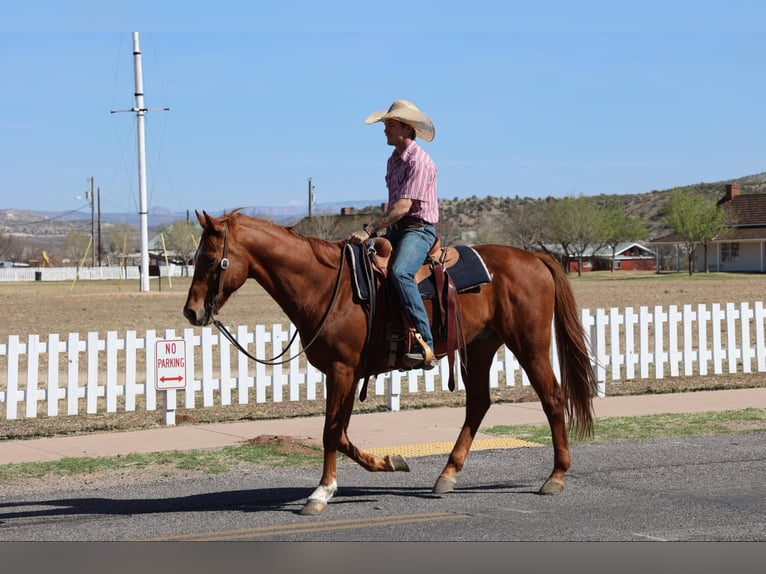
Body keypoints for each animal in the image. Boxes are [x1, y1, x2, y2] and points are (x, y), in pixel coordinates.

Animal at [183, 210, 598, 515]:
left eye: (209, 258)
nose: (191, 311)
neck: (326, 286)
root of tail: (534, 257)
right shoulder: (349, 373)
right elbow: (341, 433)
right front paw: (389, 462)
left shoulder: (342, 370)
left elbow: (330, 432)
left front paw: (320, 493)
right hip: (481, 346)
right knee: (479, 403)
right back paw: (447, 474)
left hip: (529, 344)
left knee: (552, 397)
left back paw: (556, 476)